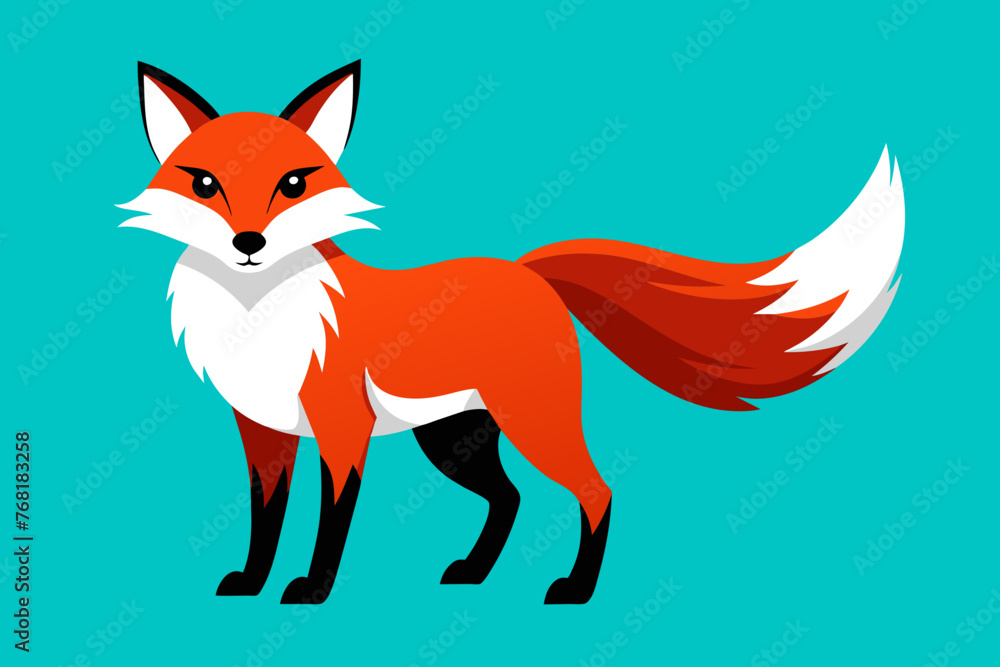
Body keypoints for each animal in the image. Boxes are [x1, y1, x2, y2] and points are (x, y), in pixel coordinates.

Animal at [119, 60, 905, 605]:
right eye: (204, 183)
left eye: (293, 184)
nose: (248, 242)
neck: (256, 318)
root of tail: (527, 270)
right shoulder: (263, 432)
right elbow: (265, 519)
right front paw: (251, 582)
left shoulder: (341, 429)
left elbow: (329, 522)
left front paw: (312, 591)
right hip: (453, 437)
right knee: (511, 498)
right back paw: (473, 572)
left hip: (530, 422)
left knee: (596, 491)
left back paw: (576, 590)